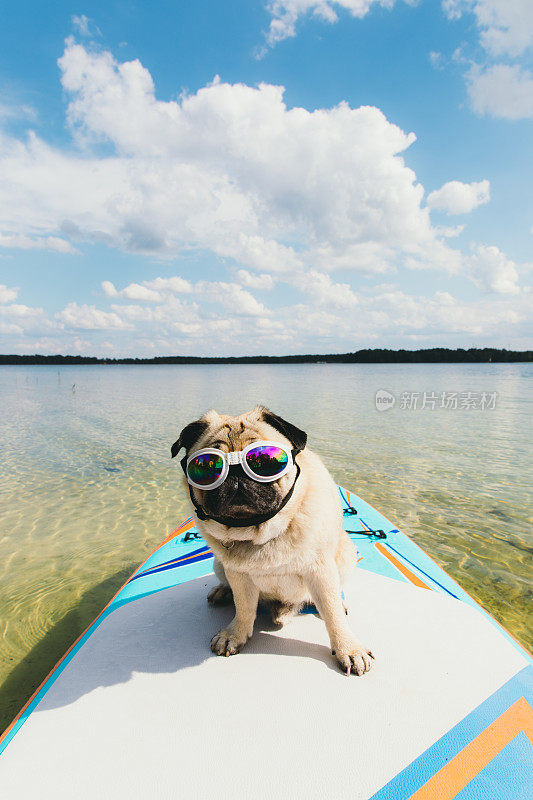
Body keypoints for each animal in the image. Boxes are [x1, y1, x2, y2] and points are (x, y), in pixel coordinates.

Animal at [172, 406, 372, 676]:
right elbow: (244, 608)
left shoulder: (320, 571)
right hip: (219, 565)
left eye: (264, 462)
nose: (236, 473)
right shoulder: (238, 575)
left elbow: (332, 615)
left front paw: (348, 649)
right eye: (207, 468)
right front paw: (235, 634)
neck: (262, 535)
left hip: (346, 554)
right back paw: (223, 591)